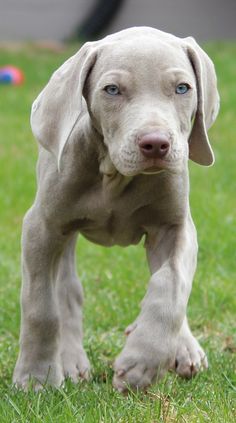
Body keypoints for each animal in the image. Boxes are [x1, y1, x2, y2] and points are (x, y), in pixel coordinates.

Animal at [12, 25, 219, 390]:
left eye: (182, 88)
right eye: (112, 90)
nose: (156, 144)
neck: (115, 178)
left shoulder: (175, 228)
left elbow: (171, 284)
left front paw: (142, 362)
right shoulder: (41, 227)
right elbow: (41, 305)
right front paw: (36, 377)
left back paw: (184, 347)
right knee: (66, 289)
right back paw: (70, 360)